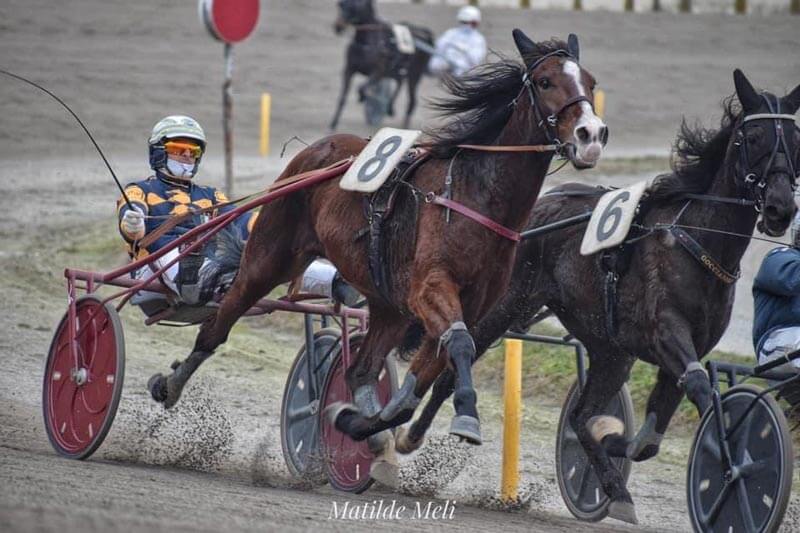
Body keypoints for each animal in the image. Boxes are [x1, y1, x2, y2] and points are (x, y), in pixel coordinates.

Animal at [330, 0, 434, 130]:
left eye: (356, 5)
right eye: (340, 4)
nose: (338, 26)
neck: (367, 43)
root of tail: (424, 33)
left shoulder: (378, 71)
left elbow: (362, 88)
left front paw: (363, 98)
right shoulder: (349, 70)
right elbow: (342, 98)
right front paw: (333, 123)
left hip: (414, 76)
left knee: (412, 101)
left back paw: (403, 125)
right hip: (398, 71)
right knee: (399, 83)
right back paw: (390, 108)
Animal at [390, 68, 796, 520]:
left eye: (797, 140)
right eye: (754, 136)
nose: (780, 208)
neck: (695, 240)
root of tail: (531, 213)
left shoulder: (684, 348)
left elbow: (642, 438)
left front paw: (611, 440)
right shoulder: (668, 335)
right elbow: (700, 391)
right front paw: (729, 465)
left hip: (610, 349)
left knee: (581, 412)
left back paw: (615, 490)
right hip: (501, 309)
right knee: (448, 369)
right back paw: (412, 435)